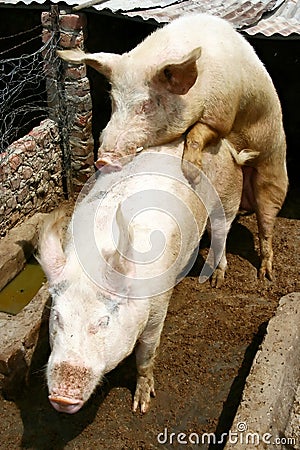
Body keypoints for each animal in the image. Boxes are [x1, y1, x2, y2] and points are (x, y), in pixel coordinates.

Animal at [37, 138, 253, 414]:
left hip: (226, 198)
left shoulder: (158, 310)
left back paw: (217, 279)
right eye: (57, 317)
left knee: (221, 233)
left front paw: (141, 406)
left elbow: (146, 356)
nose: (62, 399)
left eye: (104, 321)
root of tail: (225, 145)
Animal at [57, 13, 290, 282]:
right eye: (113, 101)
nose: (103, 160)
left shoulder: (223, 114)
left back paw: (266, 274)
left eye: (146, 105)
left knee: (267, 221)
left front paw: (191, 170)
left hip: (273, 172)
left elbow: (200, 132)